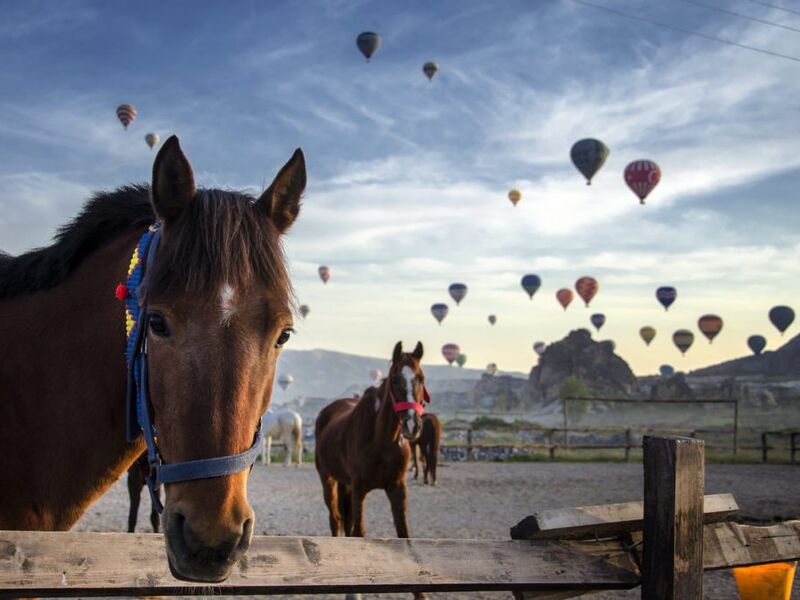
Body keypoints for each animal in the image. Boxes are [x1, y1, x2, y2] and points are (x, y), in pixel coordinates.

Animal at [312, 342, 428, 540]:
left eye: (421, 378)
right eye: (395, 379)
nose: (412, 425)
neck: (381, 441)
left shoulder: (397, 488)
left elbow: (403, 532)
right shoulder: (359, 489)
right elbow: (358, 531)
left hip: (345, 483)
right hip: (327, 478)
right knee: (335, 519)